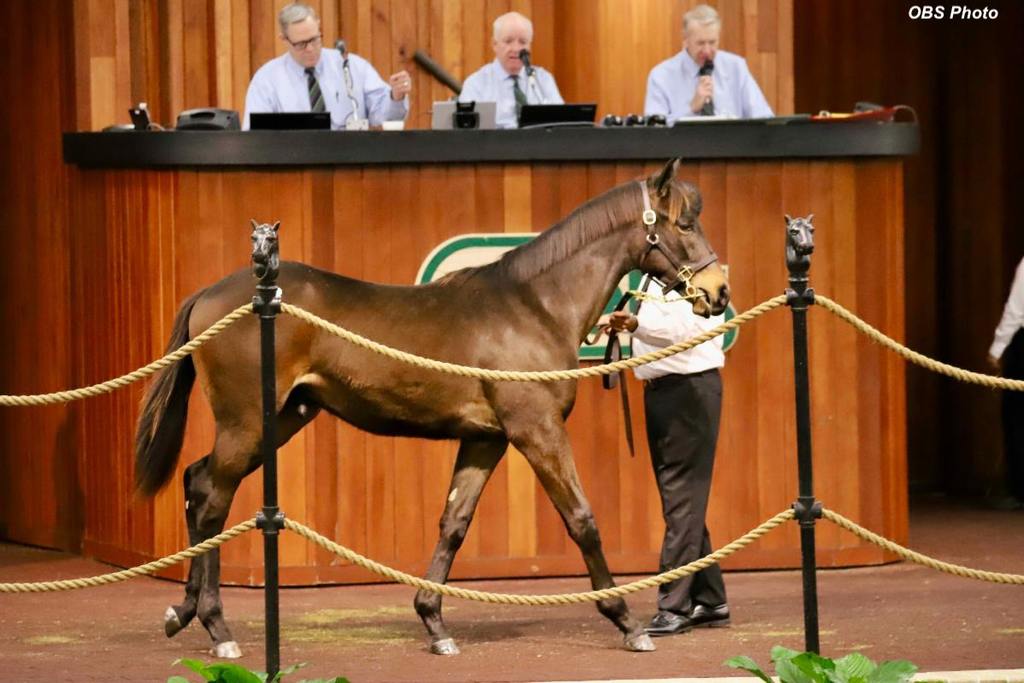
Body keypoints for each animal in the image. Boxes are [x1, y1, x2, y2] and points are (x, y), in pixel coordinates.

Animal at [136, 158, 729, 655]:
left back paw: (183, 612)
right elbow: (582, 519)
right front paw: (626, 620)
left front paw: (434, 622)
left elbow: (453, 523)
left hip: (280, 419)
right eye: (683, 224)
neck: (533, 306)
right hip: (247, 424)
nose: (719, 291)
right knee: (213, 500)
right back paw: (218, 629)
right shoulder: (536, 431)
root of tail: (215, 294)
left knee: (198, 483)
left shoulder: (486, 439)